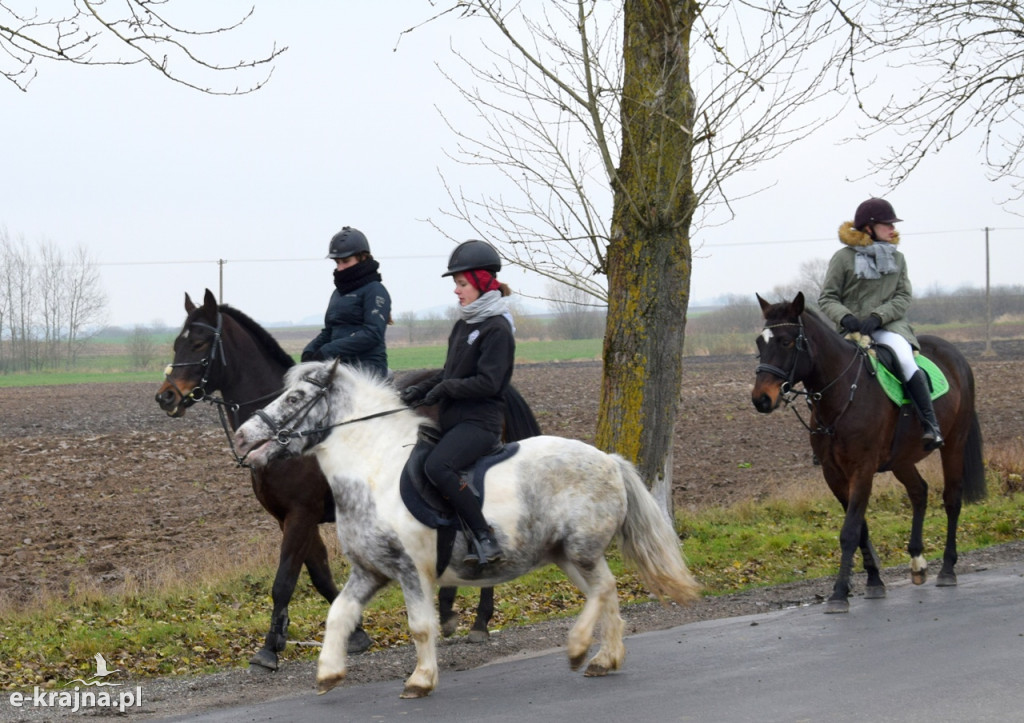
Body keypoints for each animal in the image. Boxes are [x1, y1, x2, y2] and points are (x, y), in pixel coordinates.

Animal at [153, 286, 544, 671]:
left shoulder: (302, 513)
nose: (166, 396)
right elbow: (319, 574)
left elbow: (285, 580)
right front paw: (355, 634)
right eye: (176, 342)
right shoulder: (289, 517)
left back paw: (479, 620)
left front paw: (268, 650)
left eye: (200, 343)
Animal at [233, 362, 700, 696]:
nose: (241, 437)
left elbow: (420, 626)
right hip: (568, 556)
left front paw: (420, 681)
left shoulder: (412, 571)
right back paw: (605, 659)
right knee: (607, 593)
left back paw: (578, 648)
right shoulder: (370, 571)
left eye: (295, 396)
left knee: (603, 591)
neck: (374, 472)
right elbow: (339, 613)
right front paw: (329, 672)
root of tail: (609, 459)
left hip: (580, 550)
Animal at [753, 290, 983, 610]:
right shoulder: (833, 474)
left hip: (954, 444)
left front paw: (839, 592)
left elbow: (849, 531)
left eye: (786, 341)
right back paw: (917, 561)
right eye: (759, 343)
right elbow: (860, 528)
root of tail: (954, 354)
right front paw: (873, 581)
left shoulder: (861, 469)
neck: (843, 394)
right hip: (902, 458)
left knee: (952, 499)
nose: (761, 399)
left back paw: (947, 568)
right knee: (919, 492)